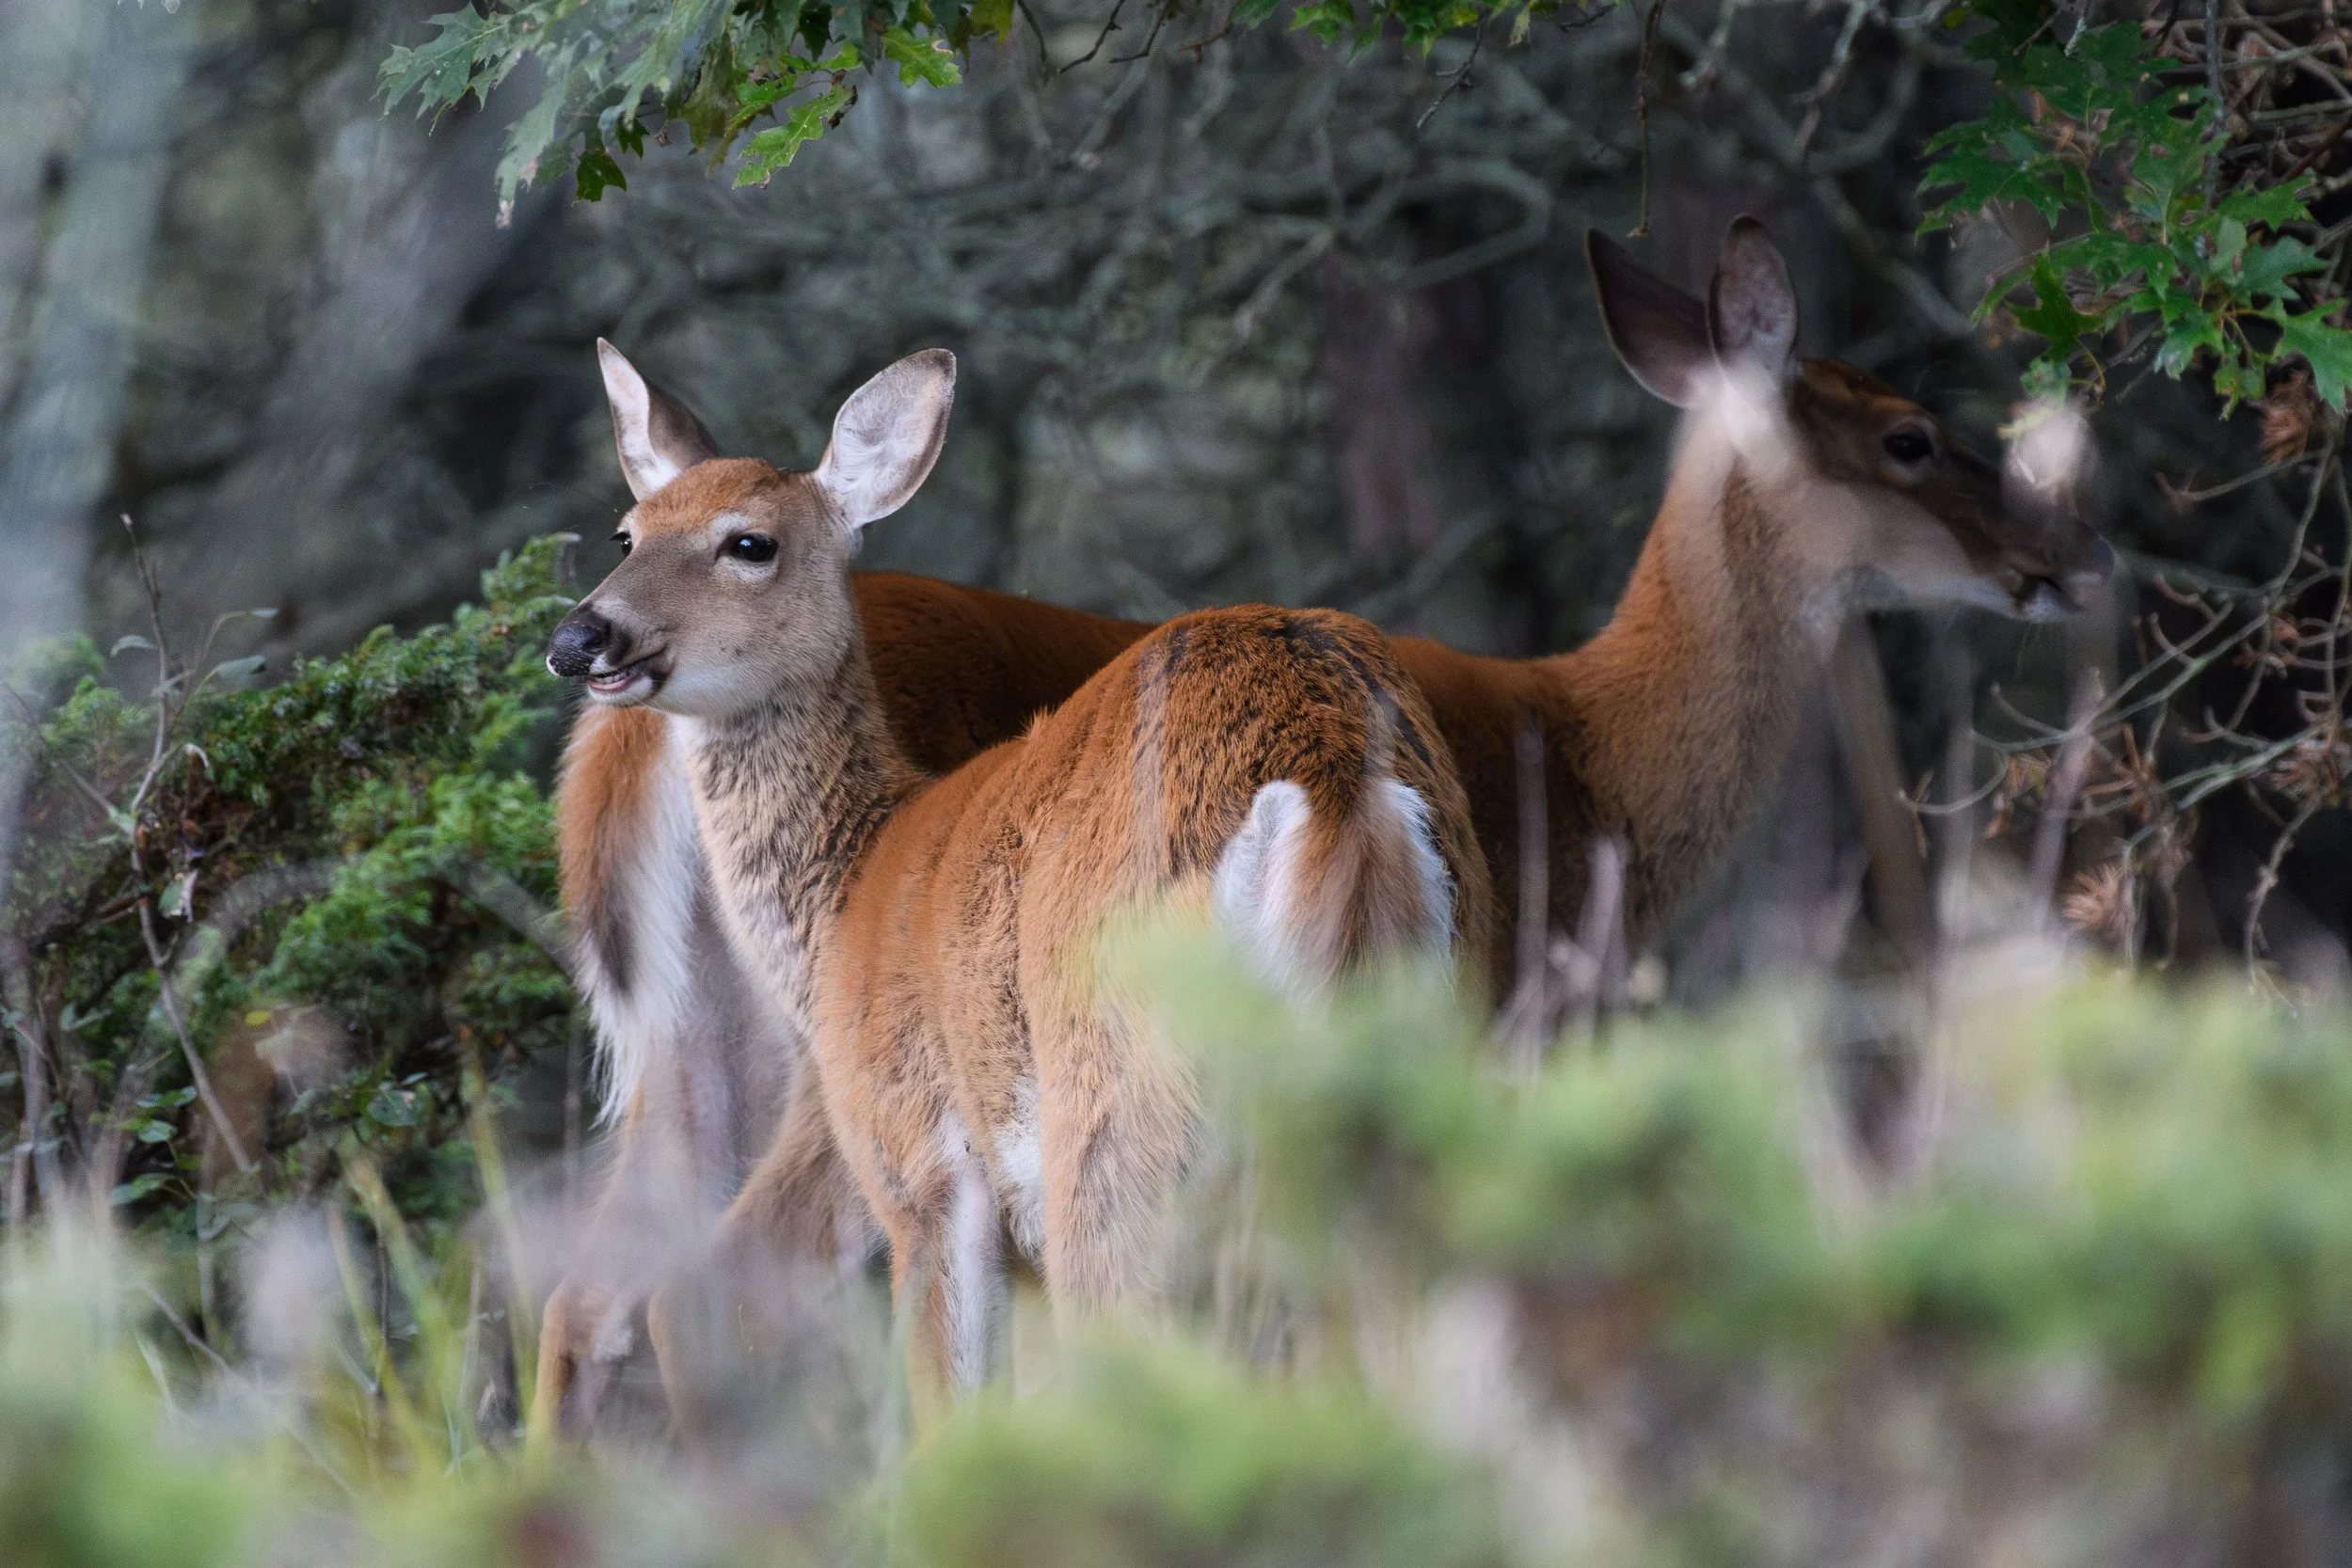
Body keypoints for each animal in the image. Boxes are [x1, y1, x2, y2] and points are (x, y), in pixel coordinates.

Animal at [544, 348, 1487, 1423]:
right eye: (626, 532)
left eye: (750, 541)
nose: (581, 638)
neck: (854, 886)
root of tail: (1330, 776)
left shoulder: (917, 1161)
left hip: (1116, 1112)